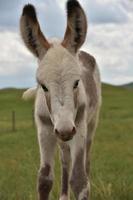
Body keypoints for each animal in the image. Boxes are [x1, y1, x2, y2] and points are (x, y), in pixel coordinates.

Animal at [19, 0, 101, 200]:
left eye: (77, 82)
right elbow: (44, 180)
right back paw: (63, 196)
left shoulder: (78, 126)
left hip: (90, 125)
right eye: (43, 86)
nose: (65, 130)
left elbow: (79, 180)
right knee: (65, 159)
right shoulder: (45, 129)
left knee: (86, 162)